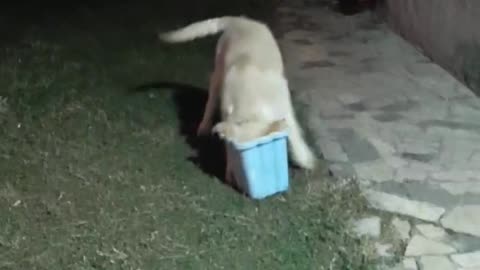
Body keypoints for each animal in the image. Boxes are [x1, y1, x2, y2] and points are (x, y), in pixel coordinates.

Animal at [158, 15, 318, 182]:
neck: (253, 109)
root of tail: (241, 20)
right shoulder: (228, 116)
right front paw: (231, 171)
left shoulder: (284, 107)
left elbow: (294, 132)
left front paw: (305, 159)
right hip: (218, 72)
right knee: (211, 102)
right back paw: (204, 126)